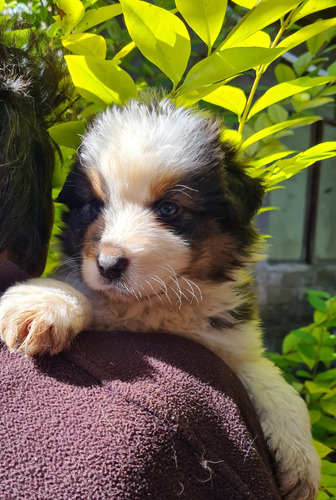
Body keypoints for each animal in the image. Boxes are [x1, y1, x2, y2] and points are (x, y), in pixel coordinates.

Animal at [0, 94, 320, 500]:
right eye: (95, 206)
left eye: (169, 208)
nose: (108, 264)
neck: (153, 302)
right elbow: (79, 289)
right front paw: (41, 303)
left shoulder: (232, 345)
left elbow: (276, 385)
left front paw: (301, 460)